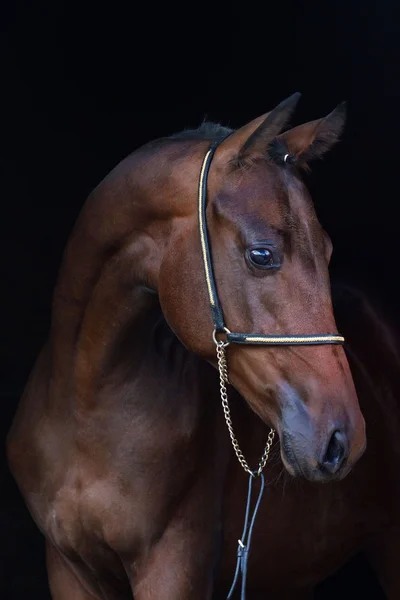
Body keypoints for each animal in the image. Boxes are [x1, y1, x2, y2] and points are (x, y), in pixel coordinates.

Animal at [6, 91, 400, 596]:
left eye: (328, 252)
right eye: (261, 254)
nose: (343, 440)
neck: (86, 409)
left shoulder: (172, 569)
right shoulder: (68, 569)